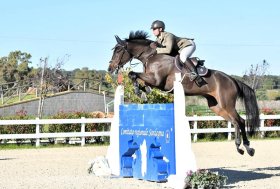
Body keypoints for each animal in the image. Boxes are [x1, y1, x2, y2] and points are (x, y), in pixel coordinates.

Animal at [107, 30, 260, 156]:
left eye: (118, 50)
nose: (110, 68)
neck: (151, 56)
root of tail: (232, 80)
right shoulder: (152, 80)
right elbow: (137, 78)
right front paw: (142, 91)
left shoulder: (156, 80)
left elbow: (133, 74)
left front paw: (139, 90)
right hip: (216, 106)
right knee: (235, 122)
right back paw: (242, 147)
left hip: (226, 103)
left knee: (240, 121)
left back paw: (246, 147)